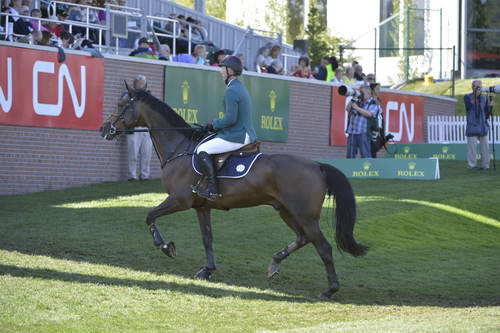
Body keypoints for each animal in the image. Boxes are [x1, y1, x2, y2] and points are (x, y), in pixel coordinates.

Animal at [101, 84, 368, 296]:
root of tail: (317, 165)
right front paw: (207, 270)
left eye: (121, 104)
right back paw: (274, 264)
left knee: (323, 247)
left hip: (305, 215)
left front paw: (167, 247)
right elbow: (207, 238)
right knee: (303, 238)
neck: (180, 149)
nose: (104, 128)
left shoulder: (179, 200)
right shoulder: (201, 207)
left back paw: (330, 289)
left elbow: (150, 216)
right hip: (286, 210)